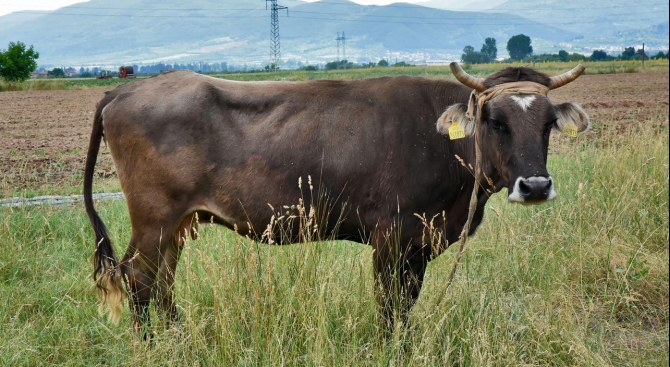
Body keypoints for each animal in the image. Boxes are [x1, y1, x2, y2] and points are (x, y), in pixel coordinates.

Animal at [85, 62, 592, 340]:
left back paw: (179, 338)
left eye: (548, 123)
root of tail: (126, 87)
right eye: (494, 120)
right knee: (139, 280)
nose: (535, 186)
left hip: (178, 223)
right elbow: (390, 305)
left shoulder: (418, 244)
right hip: (155, 218)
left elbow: (406, 303)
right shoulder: (393, 236)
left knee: (160, 283)